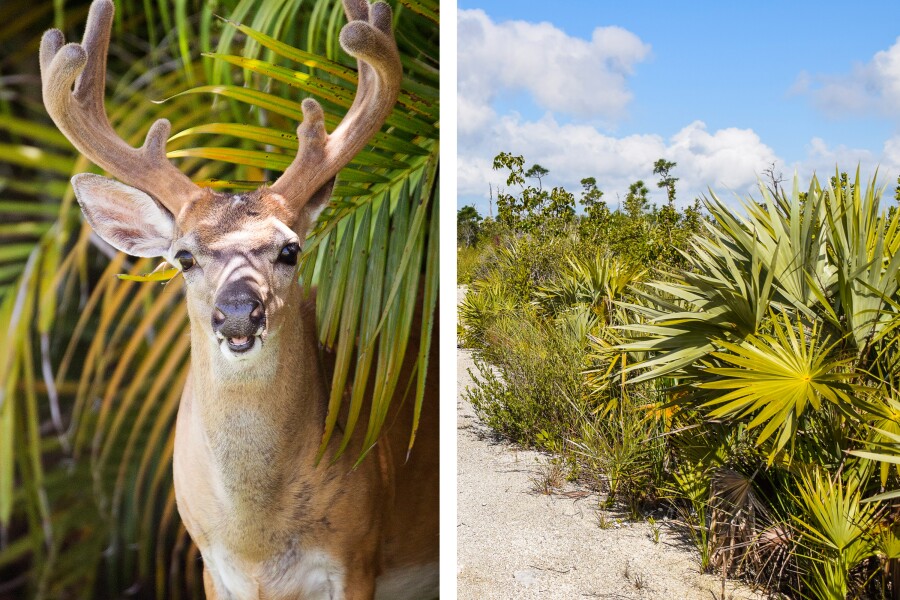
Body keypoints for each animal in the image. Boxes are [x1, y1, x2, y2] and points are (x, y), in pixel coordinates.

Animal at [39, 0, 439, 598]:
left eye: (291, 249)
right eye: (184, 257)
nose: (237, 314)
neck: (257, 542)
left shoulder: (358, 554)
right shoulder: (210, 564)